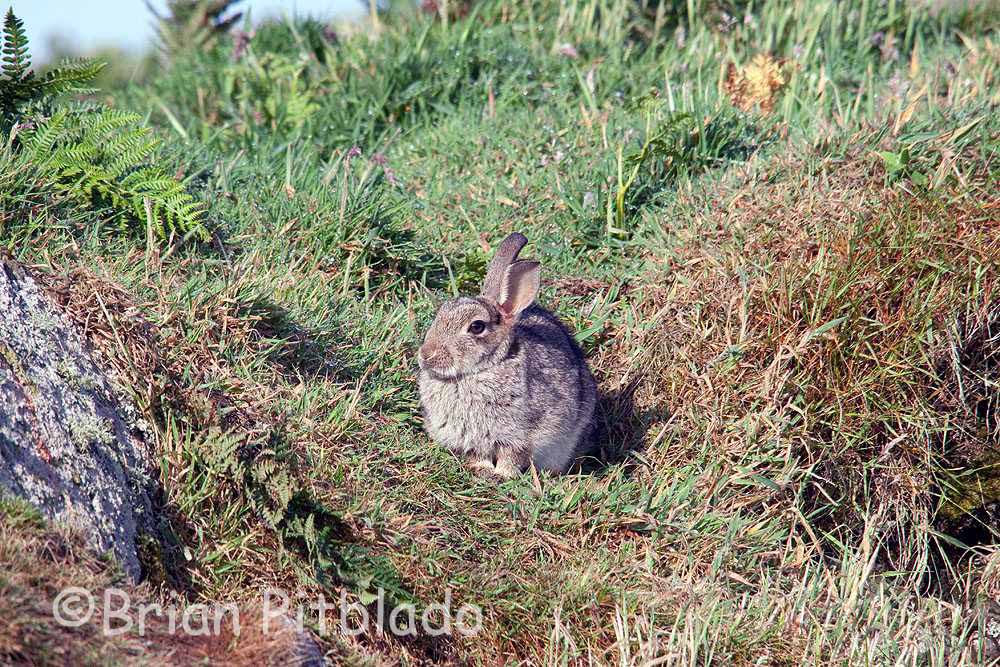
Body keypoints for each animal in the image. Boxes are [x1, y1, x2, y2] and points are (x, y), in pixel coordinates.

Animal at [418, 232, 596, 478]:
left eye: (477, 327)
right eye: (440, 314)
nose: (426, 354)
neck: (478, 371)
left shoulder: (521, 435)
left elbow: (512, 456)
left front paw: (502, 475)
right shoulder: (472, 439)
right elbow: (479, 454)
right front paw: (482, 469)